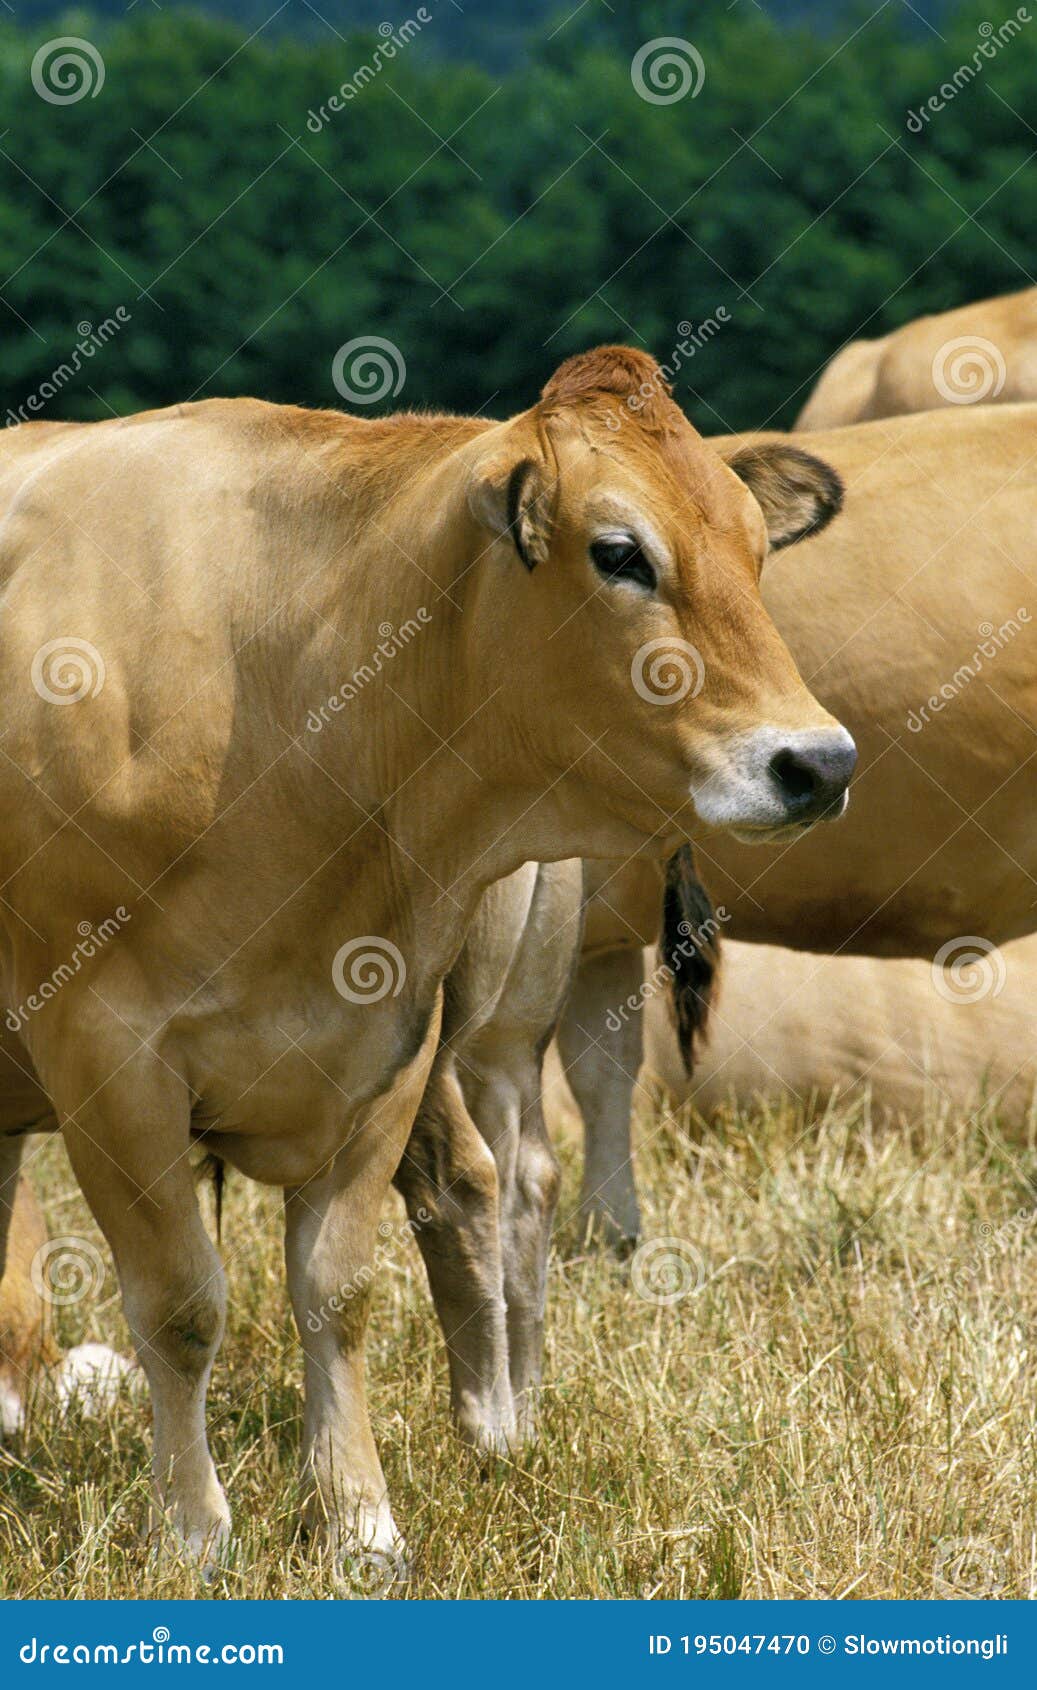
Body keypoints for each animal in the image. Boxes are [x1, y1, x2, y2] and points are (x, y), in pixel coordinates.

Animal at [0, 346, 853, 1577]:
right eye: (618, 552)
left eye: (752, 544)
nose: (818, 761)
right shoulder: (105, 1060)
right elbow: (179, 1305)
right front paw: (196, 1530)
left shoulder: (388, 1041)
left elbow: (337, 1290)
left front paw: (358, 1519)